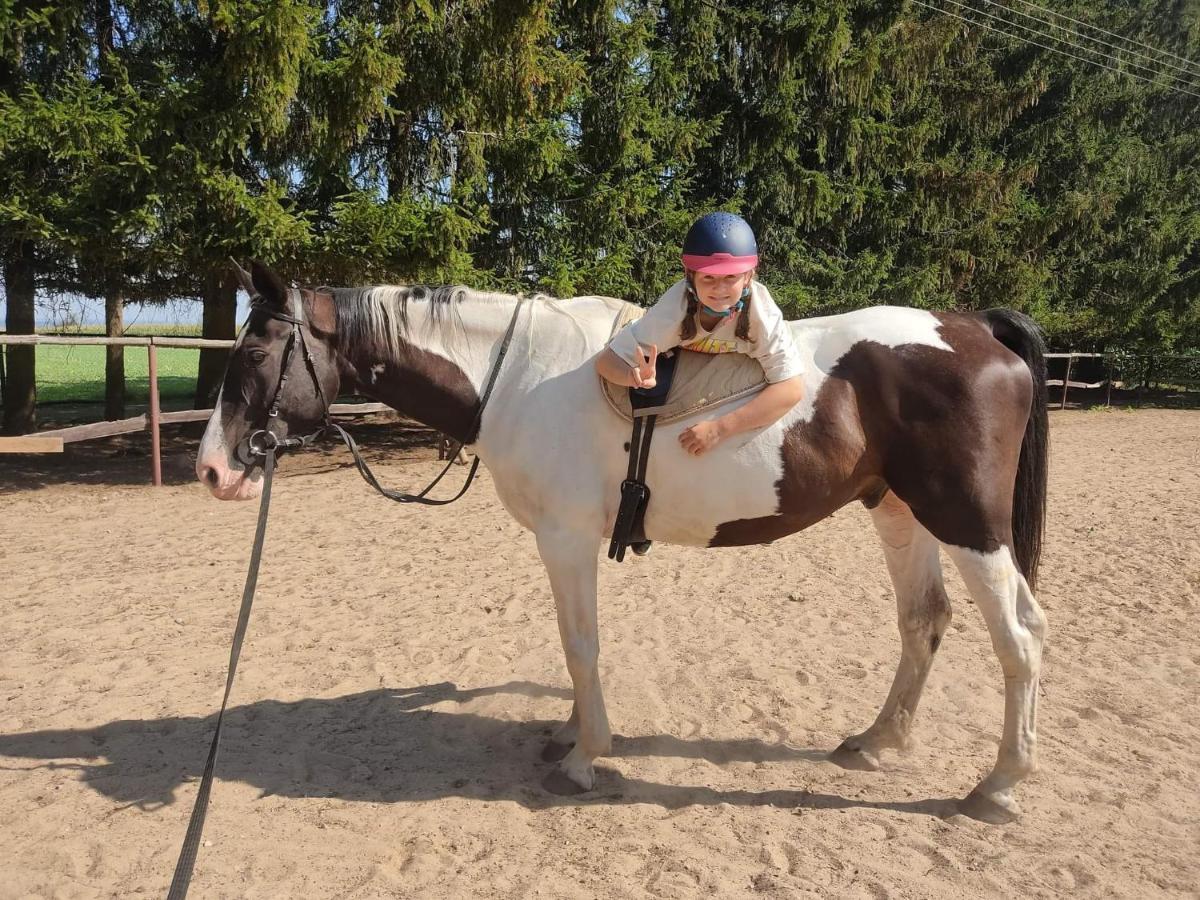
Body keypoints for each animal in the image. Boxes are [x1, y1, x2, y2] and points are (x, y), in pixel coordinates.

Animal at [196, 260, 1051, 825]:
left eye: (255, 354)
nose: (213, 469)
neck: (517, 375)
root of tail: (972, 329)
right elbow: (575, 644)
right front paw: (571, 733)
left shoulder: (566, 538)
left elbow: (581, 646)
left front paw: (585, 756)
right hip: (901, 512)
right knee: (925, 621)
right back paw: (878, 741)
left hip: (967, 524)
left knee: (1020, 640)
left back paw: (1000, 785)